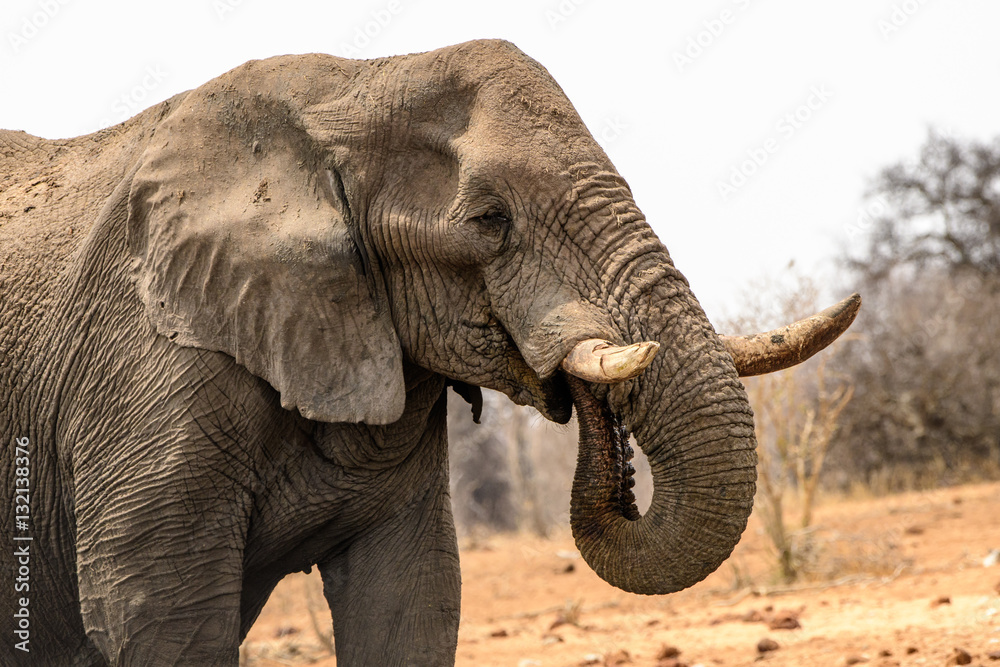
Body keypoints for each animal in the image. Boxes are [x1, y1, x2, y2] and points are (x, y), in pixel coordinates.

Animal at [0, 39, 858, 666]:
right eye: (490, 220)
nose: (582, 392)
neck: (356, 85)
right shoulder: (146, 374)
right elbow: (156, 613)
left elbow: (409, 598)